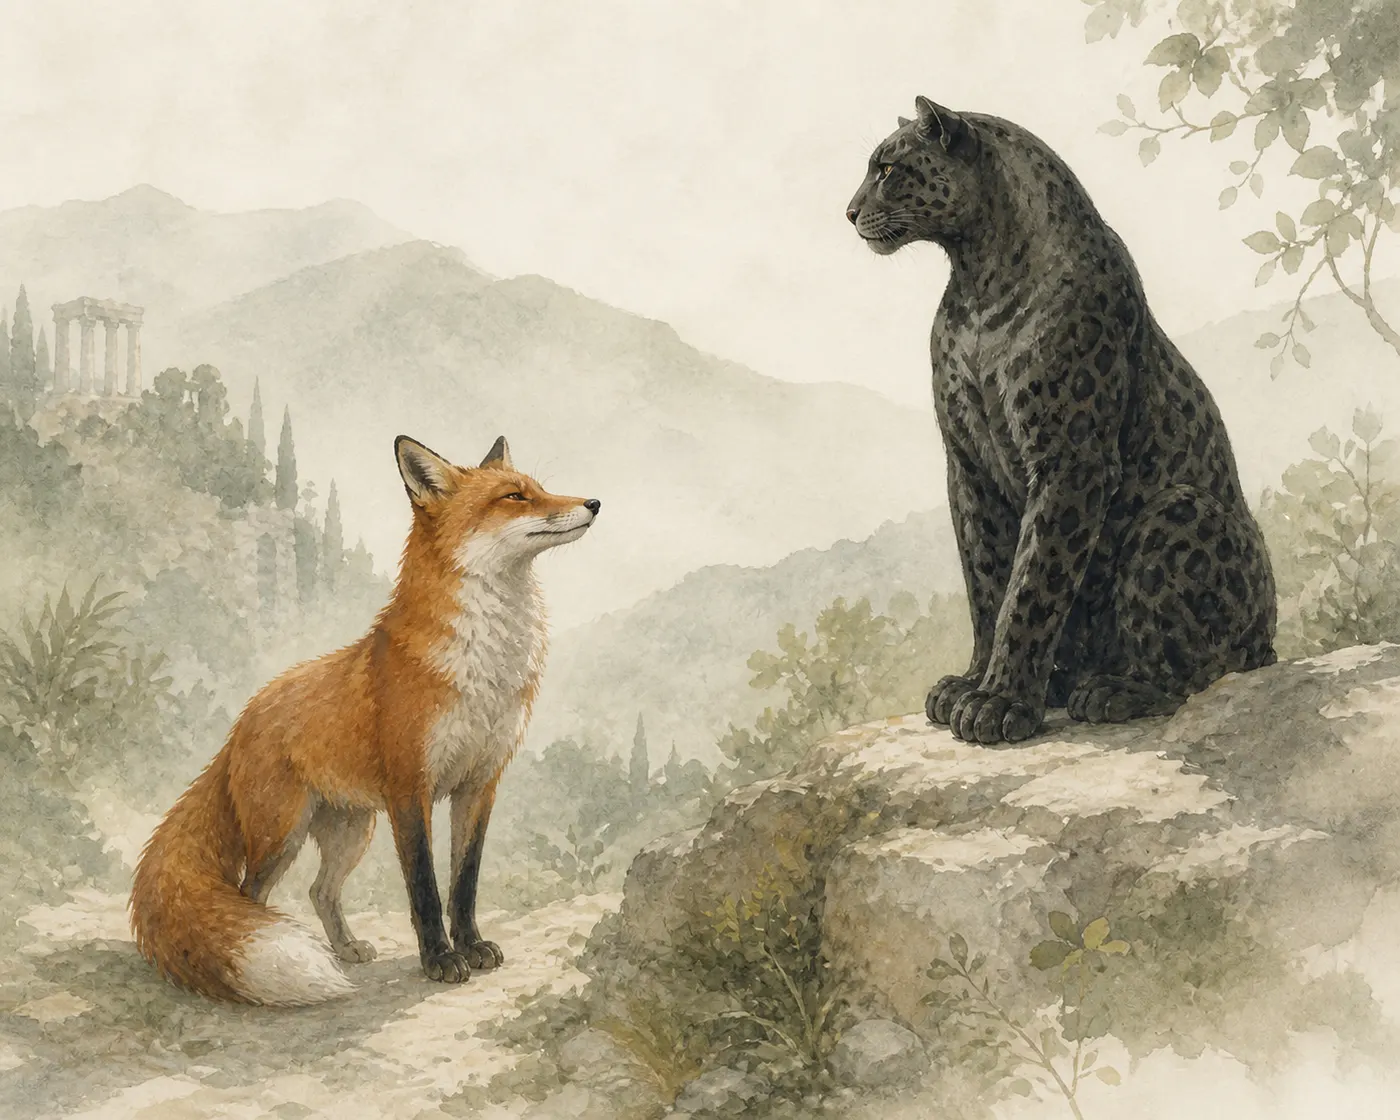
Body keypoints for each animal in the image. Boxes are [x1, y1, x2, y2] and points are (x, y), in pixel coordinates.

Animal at [128, 434, 600, 1005]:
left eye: (540, 488)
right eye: (515, 496)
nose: (594, 503)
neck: (484, 667)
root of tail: (245, 717)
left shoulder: (479, 784)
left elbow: (464, 883)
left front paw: (471, 945)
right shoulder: (409, 789)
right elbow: (424, 888)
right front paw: (439, 959)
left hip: (352, 831)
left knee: (319, 890)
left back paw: (345, 949)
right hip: (282, 834)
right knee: (249, 894)